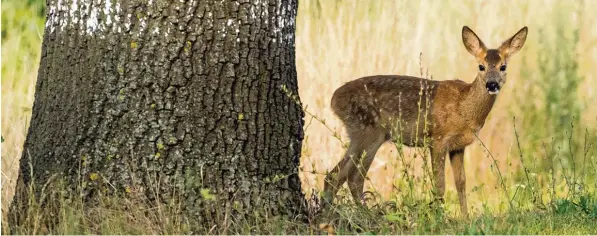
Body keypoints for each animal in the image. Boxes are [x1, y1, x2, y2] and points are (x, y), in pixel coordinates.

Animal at [322, 26, 528, 218]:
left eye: (503, 67)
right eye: (481, 66)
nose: (492, 84)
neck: (464, 107)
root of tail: (334, 99)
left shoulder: (458, 146)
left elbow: (461, 183)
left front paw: (465, 218)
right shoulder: (437, 139)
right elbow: (440, 185)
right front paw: (440, 217)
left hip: (360, 135)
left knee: (336, 175)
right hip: (369, 132)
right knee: (353, 177)